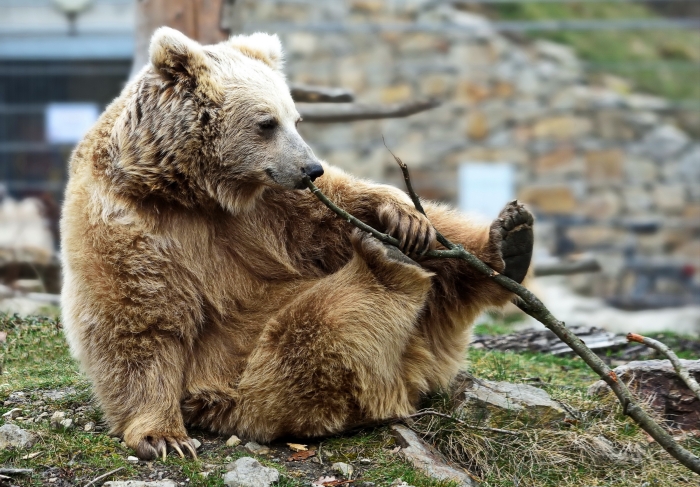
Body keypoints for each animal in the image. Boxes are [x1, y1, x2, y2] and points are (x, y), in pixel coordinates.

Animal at [61, 26, 536, 462]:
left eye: (296, 118)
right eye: (266, 122)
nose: (311, 168)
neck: (196, 191)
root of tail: (410, 373)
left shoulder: (269, 209)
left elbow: (333, 217)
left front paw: (399, 213)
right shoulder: (129, 220)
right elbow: (138, 319)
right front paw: (162, 435)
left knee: (443, 245)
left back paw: (506, 243)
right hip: (234, 379)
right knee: (314, 340)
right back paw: (387, 266)